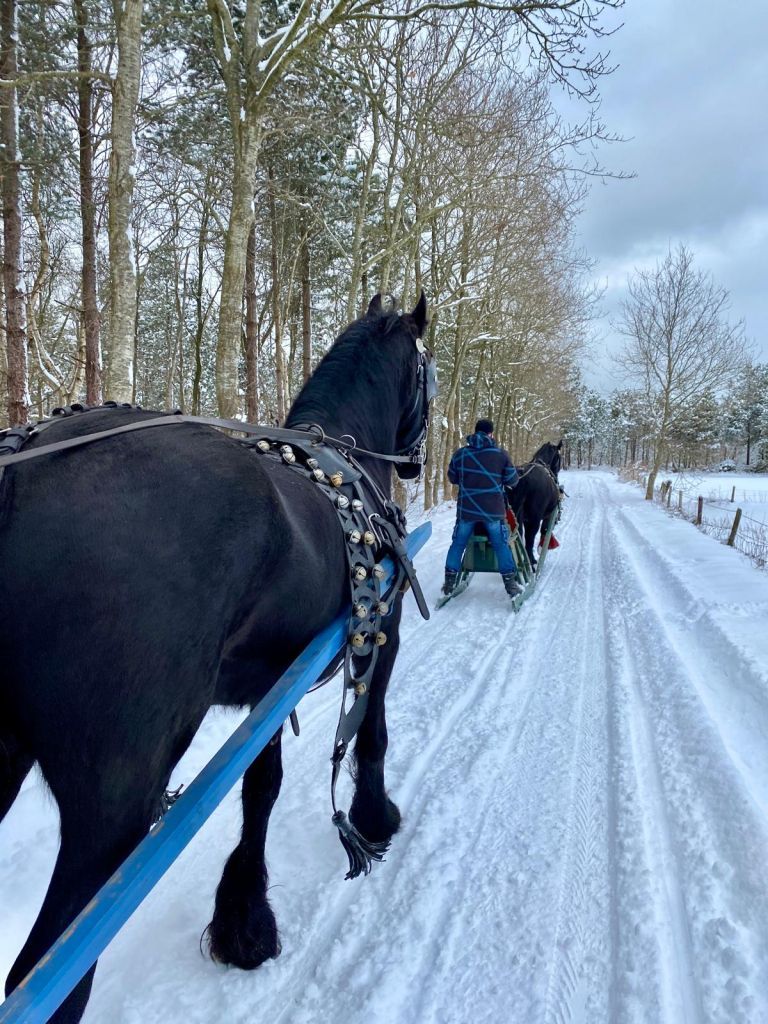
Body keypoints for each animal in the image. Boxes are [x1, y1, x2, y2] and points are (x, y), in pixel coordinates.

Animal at [0, 292, 434, 1024]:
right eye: (427, 376)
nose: (416, 463)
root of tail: (25, 465)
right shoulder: (385, 629)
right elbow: (371, 732)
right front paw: (376, 818)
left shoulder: (269, 687)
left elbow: (262, 788)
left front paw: (244, 922)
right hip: (112, 806)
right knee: (50, 972)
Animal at [507, 438, 561, 573]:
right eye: (559, 457)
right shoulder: (547, 516)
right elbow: (545, 531)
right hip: (534, 519)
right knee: (529, 538)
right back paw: (531, 564)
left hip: (517, 514)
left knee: (520, 535)